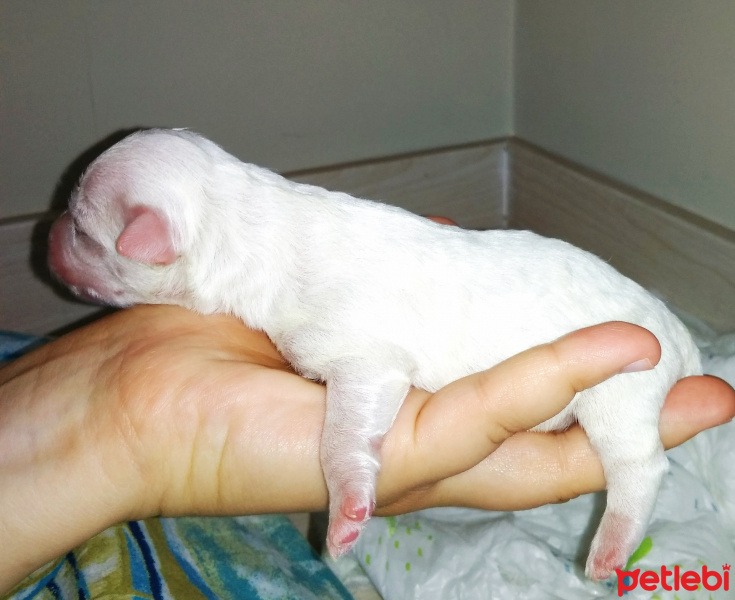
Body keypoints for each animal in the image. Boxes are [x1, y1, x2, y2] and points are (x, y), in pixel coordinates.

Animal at [46, 129, 700, 580]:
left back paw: (610, 548)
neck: (251, 220)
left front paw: (345, 517)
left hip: (622, 389)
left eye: (79, 229)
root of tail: (676, 328)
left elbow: (342, 436)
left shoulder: (364, 360)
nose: (45, 234)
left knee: (640, 467)